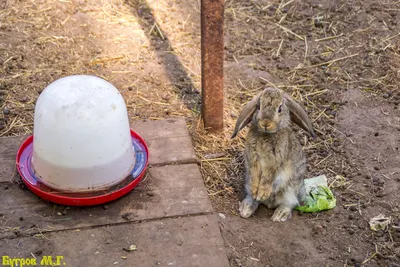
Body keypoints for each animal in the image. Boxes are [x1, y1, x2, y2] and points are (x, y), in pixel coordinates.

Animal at [231, 87, 316, 222]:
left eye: (280, 108)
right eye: (259, 106)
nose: (265, 123)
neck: (267, 135)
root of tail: (270, 204)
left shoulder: (273, 163)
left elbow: (268, 178)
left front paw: (262, 193)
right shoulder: (253, 160)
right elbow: (255, 175)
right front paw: (256, 192)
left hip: (291, 190)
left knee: (291, 203)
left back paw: (279, 215)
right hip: (247, 183)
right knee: (254, 198)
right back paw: (246, 208)